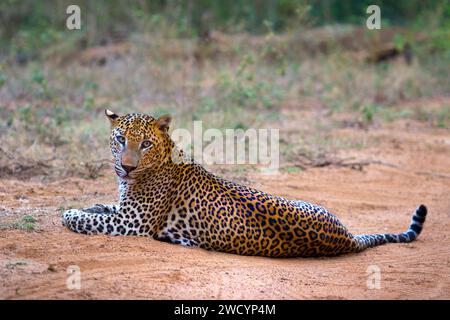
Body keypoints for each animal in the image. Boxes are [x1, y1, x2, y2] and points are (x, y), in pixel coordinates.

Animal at [61, 110, 428, 258]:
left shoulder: (133, 223)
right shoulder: (124, 210)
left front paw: (70, 212)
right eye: (120, 139)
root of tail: (347, 237)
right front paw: (93, 203)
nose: (126, 167)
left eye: (146, 144)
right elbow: (101, 207)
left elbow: (81, 218)